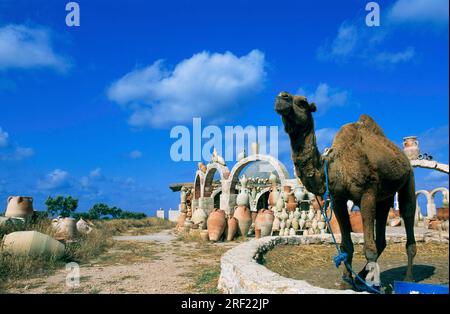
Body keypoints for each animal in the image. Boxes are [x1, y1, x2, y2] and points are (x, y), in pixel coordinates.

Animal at [276, 91, 416, 290]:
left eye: (302, 102)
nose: (282, 97)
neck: (336, 167)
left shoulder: (367, 194)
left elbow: (369, 248)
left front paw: (369, 285)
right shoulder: (338, 199)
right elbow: (346, 246)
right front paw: (346, 282)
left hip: (408, 178)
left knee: (407, 213)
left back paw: (407, 278)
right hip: (384, 198)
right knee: (382, 236)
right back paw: (363, 277)